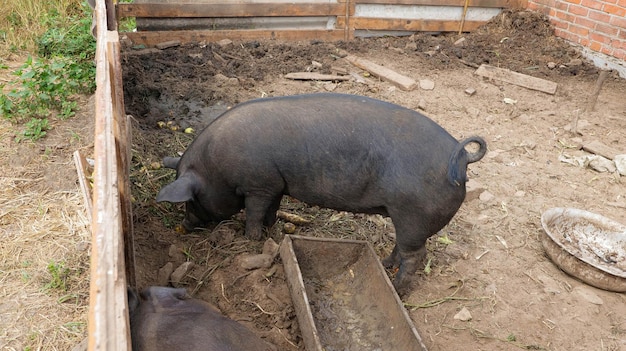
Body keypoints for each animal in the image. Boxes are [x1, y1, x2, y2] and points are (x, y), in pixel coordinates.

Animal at [157, 92, 488, 292]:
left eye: (191, 201)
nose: (184, 225)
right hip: (406, 220)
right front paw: (269, 229)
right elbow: (271, 208)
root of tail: (460, 157)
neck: (216, 166)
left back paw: (397, 288)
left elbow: (253, 211)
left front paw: (249, 238)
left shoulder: (258, 184)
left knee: (416, 254)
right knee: (404, 247)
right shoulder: (275, 183)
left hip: (414, 215)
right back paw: (385, 265)